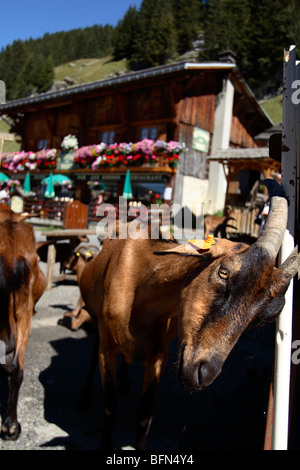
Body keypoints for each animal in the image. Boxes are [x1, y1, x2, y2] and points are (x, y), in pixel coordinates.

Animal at [80, 182, 300, 450]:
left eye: (264, 318)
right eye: (223, 272)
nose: (201, 374)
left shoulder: (158, 357)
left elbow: (143, 416)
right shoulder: (108, 350)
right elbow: (109, 408)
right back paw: (85, 396)